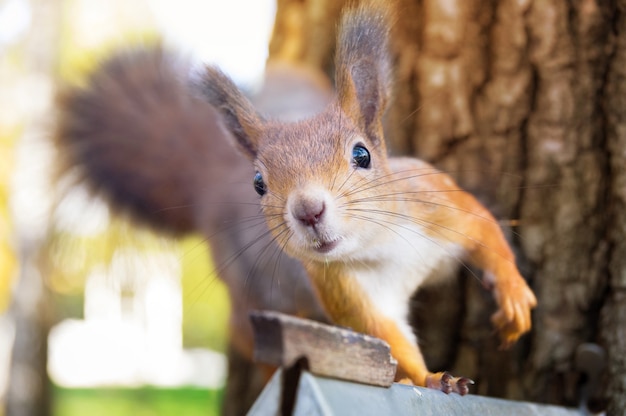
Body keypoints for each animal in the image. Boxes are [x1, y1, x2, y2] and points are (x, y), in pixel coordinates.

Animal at [196, 1, 536, 394]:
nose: (308, 211)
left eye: (362, 155)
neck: (382, 240)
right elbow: (388, 339)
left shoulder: (437, 203)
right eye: (258, 184)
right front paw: (433, 378)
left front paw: (513, 292)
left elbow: (485, 230)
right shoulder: (343, 288)